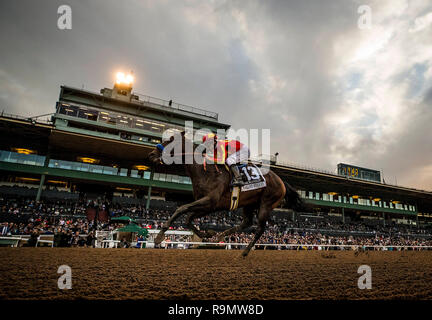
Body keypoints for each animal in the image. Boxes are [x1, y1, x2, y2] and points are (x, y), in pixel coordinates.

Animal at [147, 132, 302, 255]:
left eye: (169, 141)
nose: (151, 154)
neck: (204, 171)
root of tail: (282, 181)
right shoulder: (209, 206)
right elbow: (188, 219)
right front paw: (207, 234)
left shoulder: (210, 200)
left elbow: (181, 208)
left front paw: (159, 236)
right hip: (249, 204)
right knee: (246, 222)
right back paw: (222, 235)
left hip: (266, 204)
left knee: (260, 229)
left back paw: (245, 252)